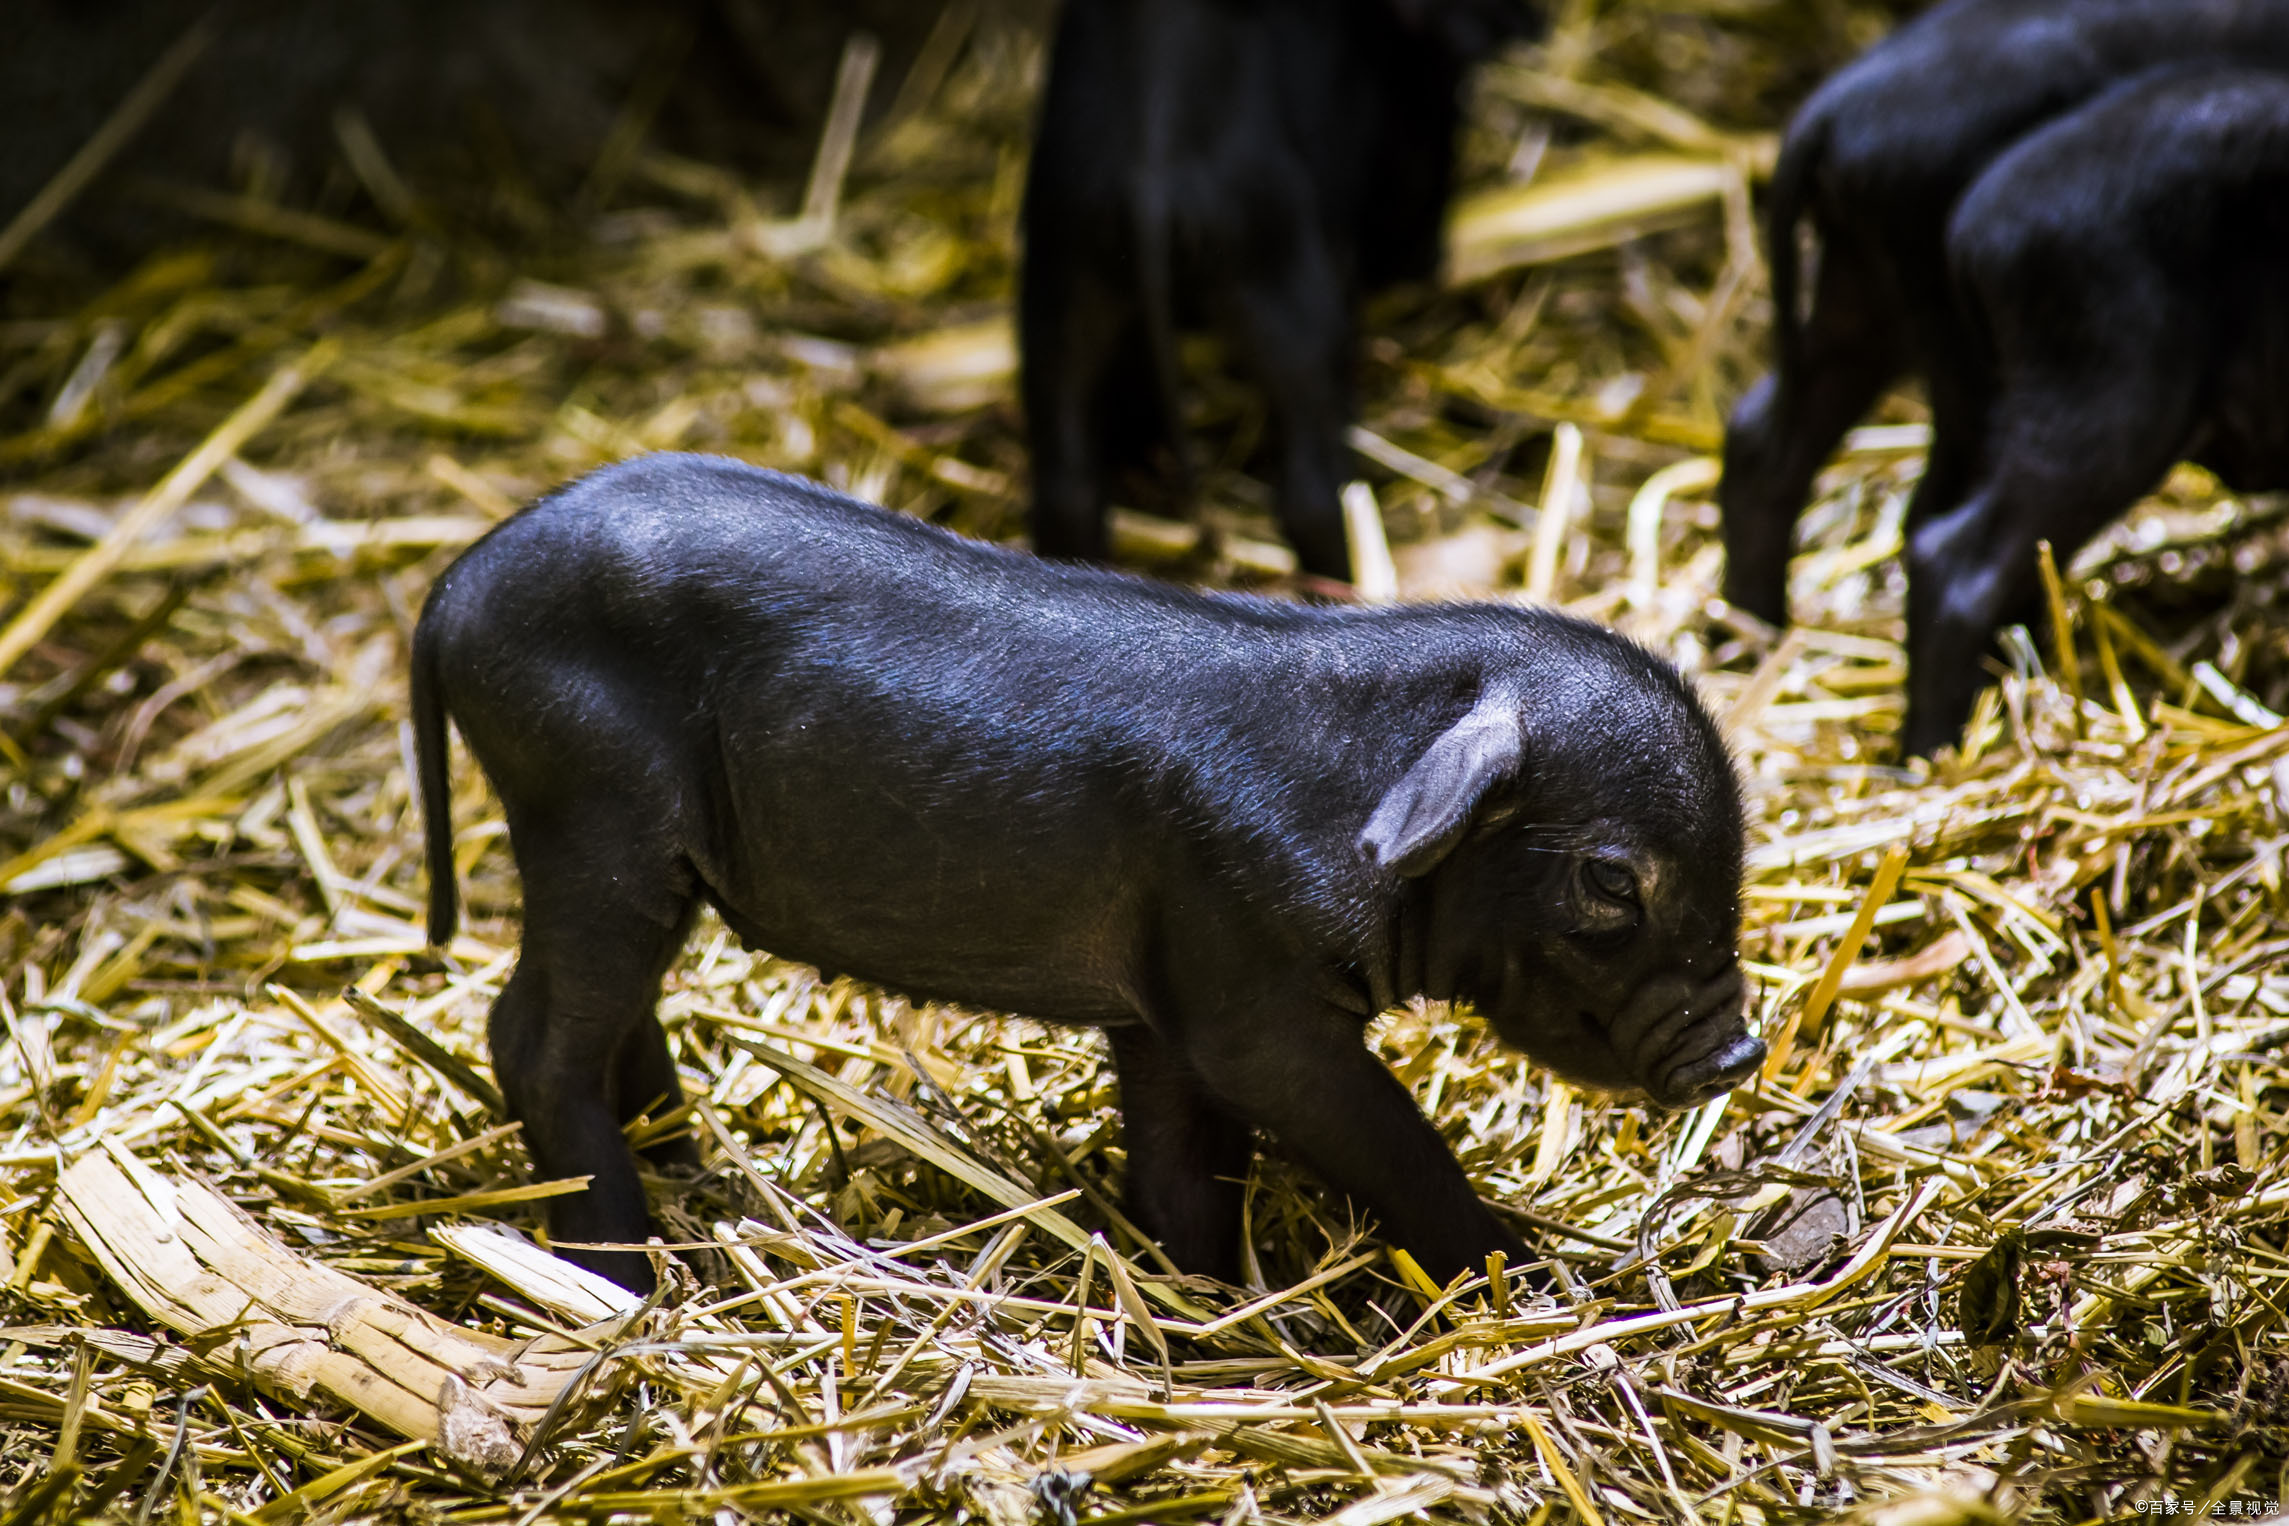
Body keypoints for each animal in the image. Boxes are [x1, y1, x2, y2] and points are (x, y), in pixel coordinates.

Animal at [412, 452, 1757, 1290]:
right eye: (1611, 878)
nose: (1738, 1049)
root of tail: (453, 586)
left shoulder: (1167, 994)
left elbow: (1181, 1163)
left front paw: (1205, 1298)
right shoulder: (1254, 1001)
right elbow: (1388, 1140)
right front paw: (1518, 1272)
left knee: (609, 1013)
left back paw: (688, 1165)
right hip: (588, 815)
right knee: (531, 1031)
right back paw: (618, 1273)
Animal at [1020, 0, 1538, 585]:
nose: (1426, 262)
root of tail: (1151, 175)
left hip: (1061, 294)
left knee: (1069, 487)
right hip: (1288, 298)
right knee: (1315, 494)